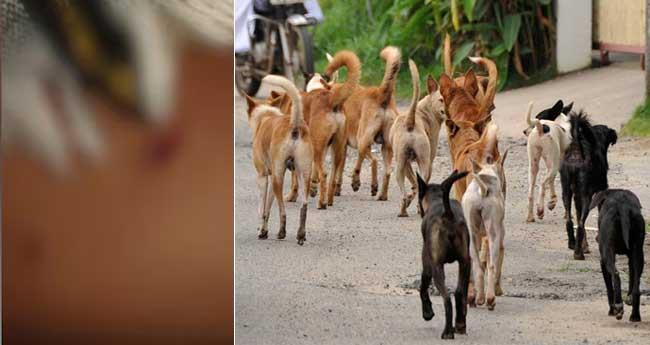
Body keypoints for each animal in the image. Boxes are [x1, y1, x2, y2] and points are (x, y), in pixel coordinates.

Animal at [244, 74, 312, 245]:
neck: (266, 117)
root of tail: (294, 123)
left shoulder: (263, 177)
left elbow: (262, 209)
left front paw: (262, 231)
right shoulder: (271, 180)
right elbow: (267, 209)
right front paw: (264, 231)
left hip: (277, 178)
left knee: (282, 210)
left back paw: (282, 232)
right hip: (304, 175)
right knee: (304, 205)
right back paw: (301, 234)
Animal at [330, 45, 400, 199]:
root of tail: (381, 94)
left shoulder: (342, 147)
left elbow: (338, 171)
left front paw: (337, 189)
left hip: (362, 140)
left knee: (371, 161)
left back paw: (364, 184)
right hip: (384, 146)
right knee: (387, 171)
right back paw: (381, 194)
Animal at [418, 169, 468, 338]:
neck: (437, 199)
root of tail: (448, 214)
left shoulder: (427, 265)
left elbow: (422, 289)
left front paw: (427, 313)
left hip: (437, 267)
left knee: (447, 299)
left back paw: (447, 332)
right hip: (466, 263)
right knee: (459, 294)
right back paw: (459, 325)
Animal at [560, 111, 616, 260]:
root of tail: (576, 152)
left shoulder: (577, 196)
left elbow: (579, 216)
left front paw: (584, 246)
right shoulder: (601, 191)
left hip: (566, 192)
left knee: (570, 220)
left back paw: (573, 244)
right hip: (587, 197)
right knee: (580, 224)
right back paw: (578, 254)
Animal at [588, 188, 644, 320]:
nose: (597, 238)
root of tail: (623, 206)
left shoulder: (602, 261)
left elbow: (609, 288)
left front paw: (611, 310)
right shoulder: (631, 257)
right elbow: (632, 277)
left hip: (607, 254)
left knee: (616, 275)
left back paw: (618, 306)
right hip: (639, 252)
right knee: (636, 288)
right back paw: (635, 316)